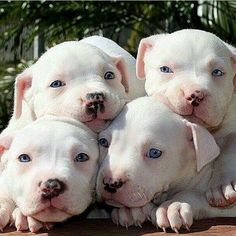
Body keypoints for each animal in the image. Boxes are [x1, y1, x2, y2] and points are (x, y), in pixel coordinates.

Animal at [97, 96, 236, 232]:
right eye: (103, 142)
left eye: (154, 153)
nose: (110, 183)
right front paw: (130, 211)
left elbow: (193, 194)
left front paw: (173, 205)